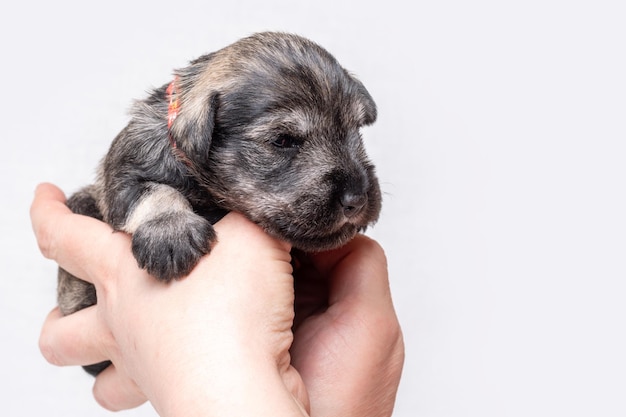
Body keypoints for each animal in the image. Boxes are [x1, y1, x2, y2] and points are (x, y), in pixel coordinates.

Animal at [57, 31, 380, 374]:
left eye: (355, 131)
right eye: (282, 141)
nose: (357, 199)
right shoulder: (124, 174)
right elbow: (153, 192)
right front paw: (171, 232)